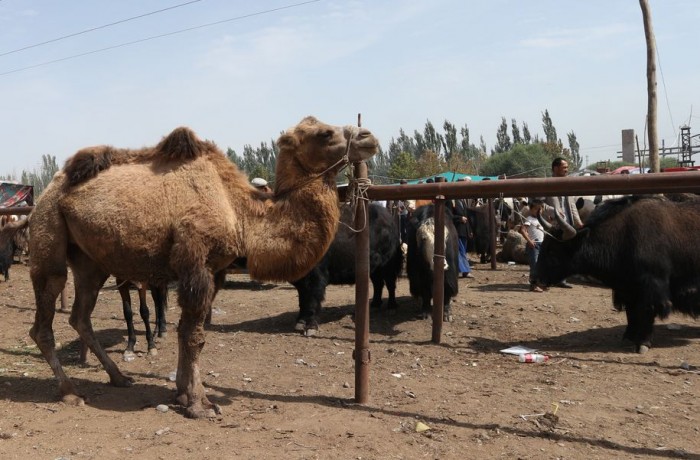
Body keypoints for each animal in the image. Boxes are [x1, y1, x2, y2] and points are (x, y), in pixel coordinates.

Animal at [27, 117, 378, 418]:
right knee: (44, 318)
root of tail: (49, 188)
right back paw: (70, 391)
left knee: (80, 316)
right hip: (48, 233)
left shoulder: (215, 271)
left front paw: (183, 394)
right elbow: (195, 335)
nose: (368, 136)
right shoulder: (195, 262)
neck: (240, 213)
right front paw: (200, 404)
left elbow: (186, 331)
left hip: (91, 263)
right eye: (325, 134)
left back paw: (120, 377)